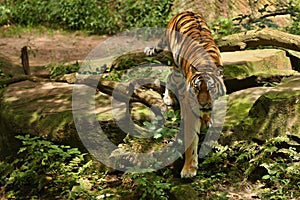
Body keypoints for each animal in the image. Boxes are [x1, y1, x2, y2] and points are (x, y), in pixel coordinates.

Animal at [144, 10, 226, 178]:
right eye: (196, 88)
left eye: (211, 88)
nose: (202, 104)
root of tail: (184, 11)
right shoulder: (191, 110)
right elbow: (191, 140)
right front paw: (188, 169)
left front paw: (207, 120)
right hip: (176, 66)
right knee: (170, 77)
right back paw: (169, 98)